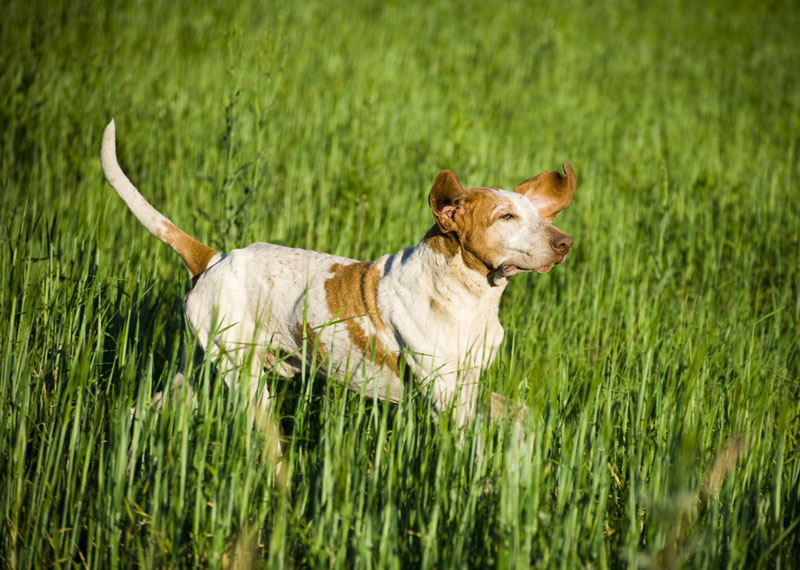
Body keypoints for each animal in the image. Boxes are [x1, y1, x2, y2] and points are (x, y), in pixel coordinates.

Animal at [100, 118, 576, 434]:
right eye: (506, 216)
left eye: (538, 215)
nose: (565, 242)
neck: (470, 295)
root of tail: (214, 258)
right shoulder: (446, 396)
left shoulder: (473, 386)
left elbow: (522, 418)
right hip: (246, 380)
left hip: (200, 372)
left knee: (140, 411)